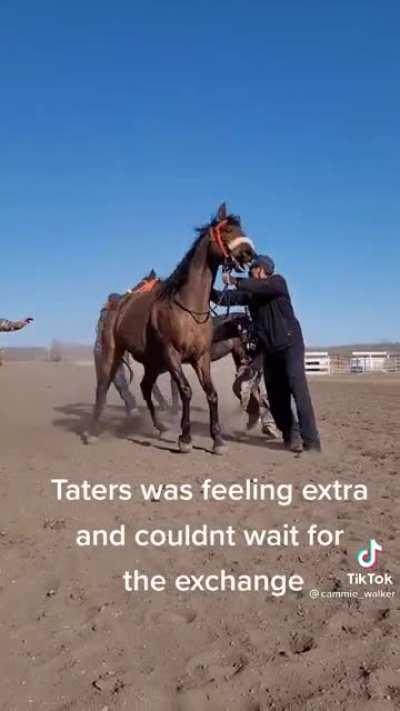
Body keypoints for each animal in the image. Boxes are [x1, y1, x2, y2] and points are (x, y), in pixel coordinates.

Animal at [90, 203, 255, 453]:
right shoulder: (172, 355)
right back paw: (92, 431)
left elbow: (211, 393)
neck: (189, 308)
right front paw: (185, 438)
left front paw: (217, 439)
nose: (250, 254)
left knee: (145, 387)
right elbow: (186, 391)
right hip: (114, 353)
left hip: (154, 363)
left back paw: (160, 427)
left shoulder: (201, 357)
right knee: (104, 386)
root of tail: (115, 308)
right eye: (227, 229)